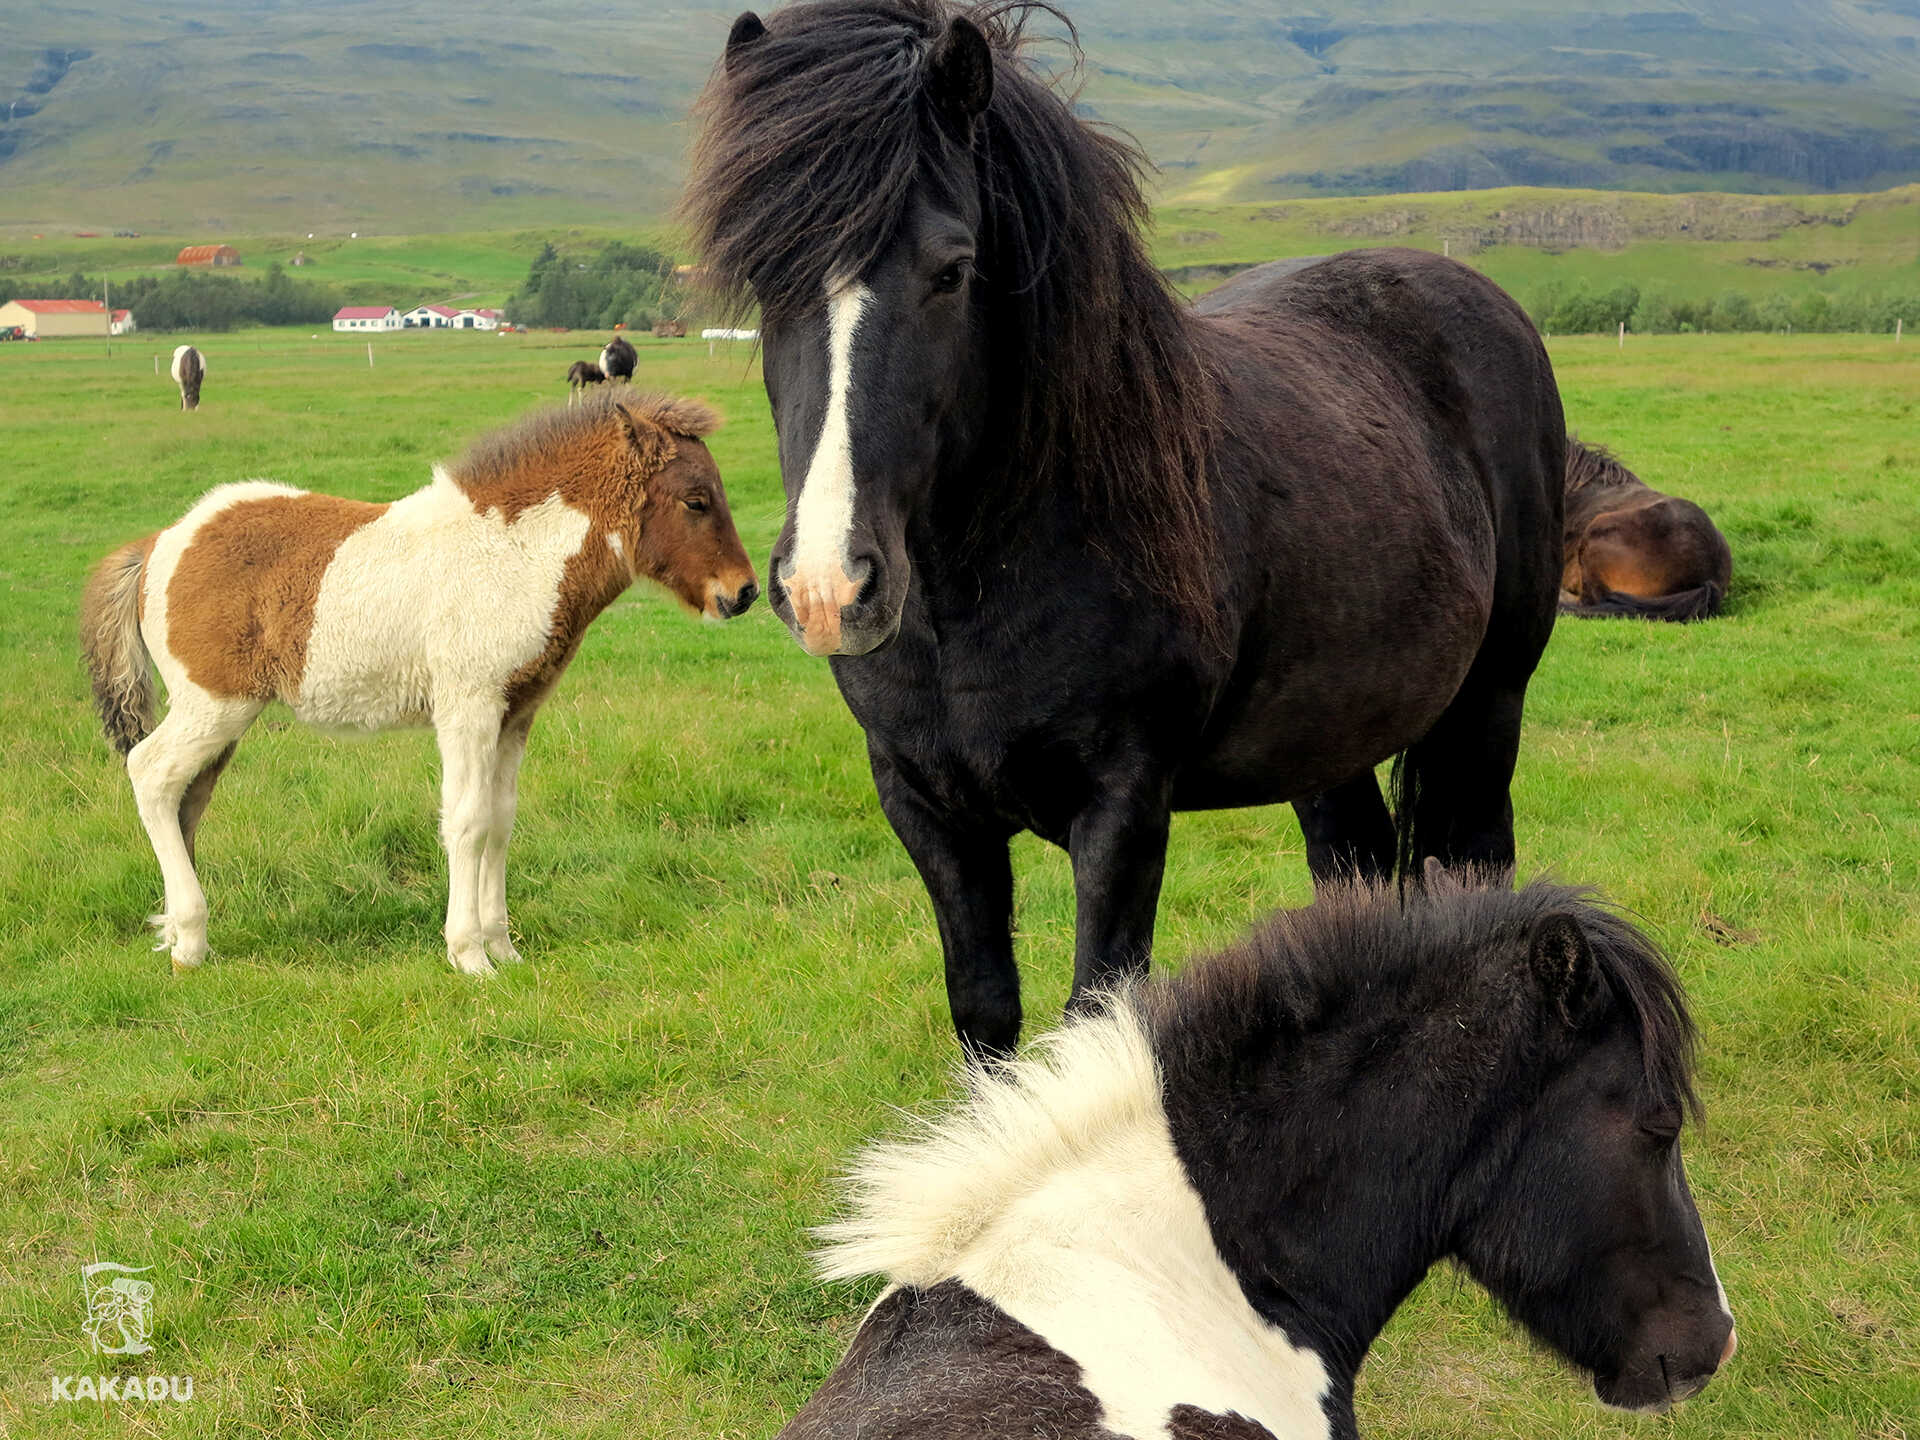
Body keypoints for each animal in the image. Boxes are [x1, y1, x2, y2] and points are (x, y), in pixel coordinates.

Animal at [80, 395, 756, 975]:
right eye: (696, 501)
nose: (744, 592)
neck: (513, 556)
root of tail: (161, 542)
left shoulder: (516, 714)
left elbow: (500, 820)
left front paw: (504, 947)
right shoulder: (469, 707)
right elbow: (466, 820)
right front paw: (469, 955)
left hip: (221, 718)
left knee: (185, 798)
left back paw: (178, 934)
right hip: (215, 704)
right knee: (151, 773)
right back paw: (191, 939)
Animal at [687, 2, 1559, 1059]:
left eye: (952, 271)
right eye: (761, 276)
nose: (827, 587)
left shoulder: (1123, 809)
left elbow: (1094, 1015)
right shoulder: (927, 808)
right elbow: (987, 1018)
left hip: (1488, 705)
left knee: (1478, 857)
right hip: (1333, 734)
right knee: (1351, 867)